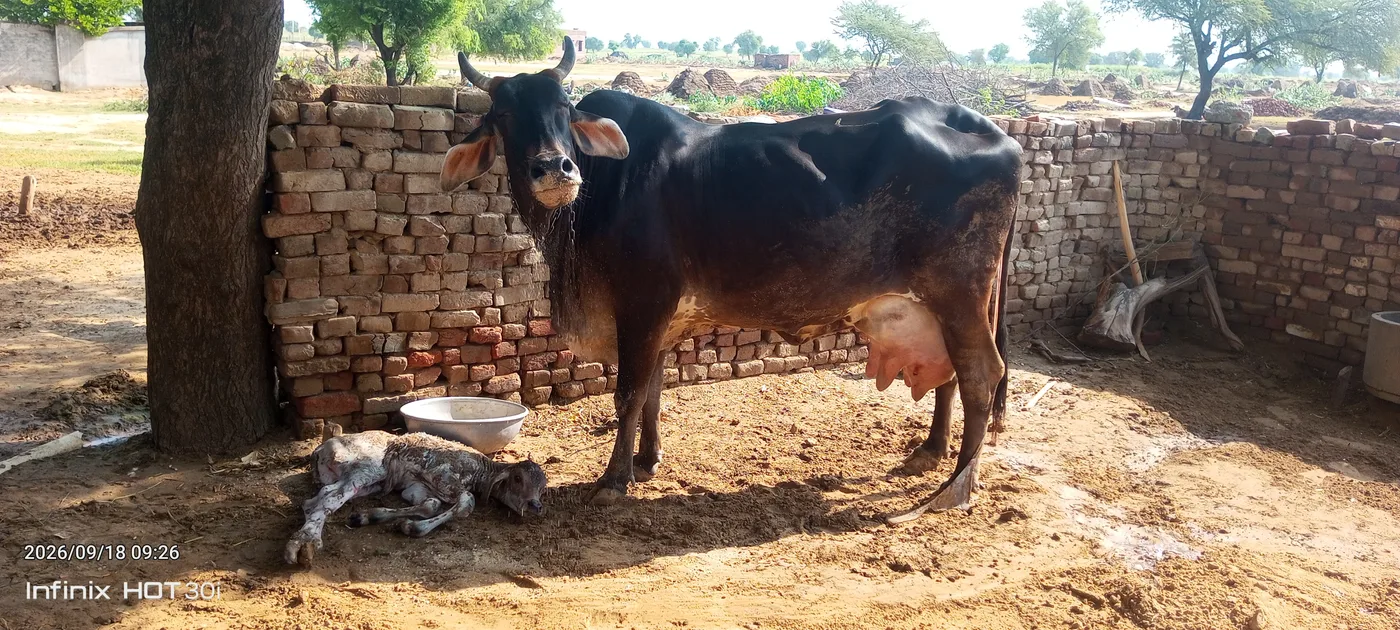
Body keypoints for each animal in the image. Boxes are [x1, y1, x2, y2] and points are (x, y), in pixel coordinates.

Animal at [440, 37, 1020, 520]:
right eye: (504, 113)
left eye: (564, 108)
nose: (555, 168)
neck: (606, 186)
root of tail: (997, 134)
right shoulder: (660, 317)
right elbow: (653, 391)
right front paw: (647, 461)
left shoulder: (642, 303)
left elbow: (628, 392)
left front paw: (613, 479)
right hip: (943, 306)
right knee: (952, 374)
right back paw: (930, 453)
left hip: (959, 295)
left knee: (981, 374)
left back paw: (954, 486)